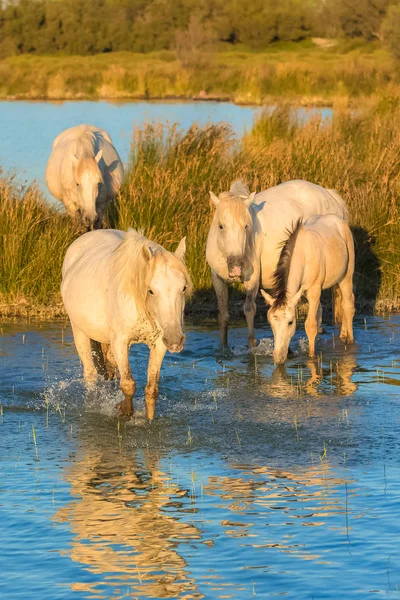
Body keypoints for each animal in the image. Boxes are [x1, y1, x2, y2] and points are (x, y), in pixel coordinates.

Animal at [61, 227, 193, 420]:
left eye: (183, 288)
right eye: (151, 290)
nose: (175, 340)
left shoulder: (159, 344)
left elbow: (151, 390)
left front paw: (148, 420)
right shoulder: (120, 342)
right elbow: (128, 384)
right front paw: (123, 410)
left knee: (111, 371)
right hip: (79, 331)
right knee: (91, 375)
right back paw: (93, 406)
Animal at [205, 178, 348, 346]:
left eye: (246, 226)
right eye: (221, 226)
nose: (236, 267)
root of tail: (330, 195)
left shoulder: (252, 279)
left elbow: (249, 309)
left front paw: (252, 345)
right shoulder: (217, 280)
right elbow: (223, 316)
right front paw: (223, 348)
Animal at [260, 216, 354, 366]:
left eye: (290, 322)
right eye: (270, 322)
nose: (278, 357)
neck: (303, 255)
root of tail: (339, 220)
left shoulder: (314, 291)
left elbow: (310, 325)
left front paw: (311, 356)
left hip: (346, 276)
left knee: (348, 305)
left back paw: (349, 341)